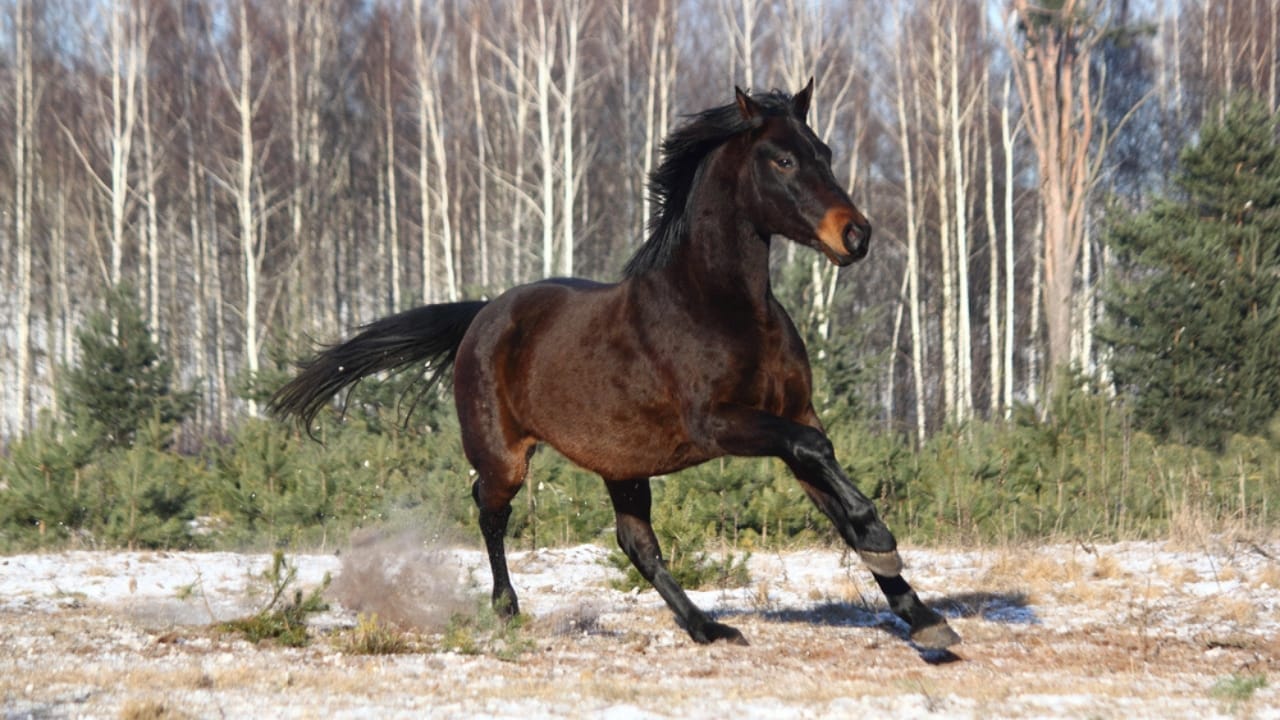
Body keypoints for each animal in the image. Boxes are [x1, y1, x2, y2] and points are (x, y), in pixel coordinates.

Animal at [270, 80, 960, 650]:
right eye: (783, 159)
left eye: (826, 152)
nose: (857, 236)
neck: (720, 305)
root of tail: (485, 313)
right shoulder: (720, 423)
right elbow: (819, 455)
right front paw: (883, 543)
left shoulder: (791, 413)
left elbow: (826, 478)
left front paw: (922, 616)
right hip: (506, 456)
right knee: (490, 511)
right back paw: (507, 608)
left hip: (622, 467)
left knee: (637, 544)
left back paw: (707, 628)